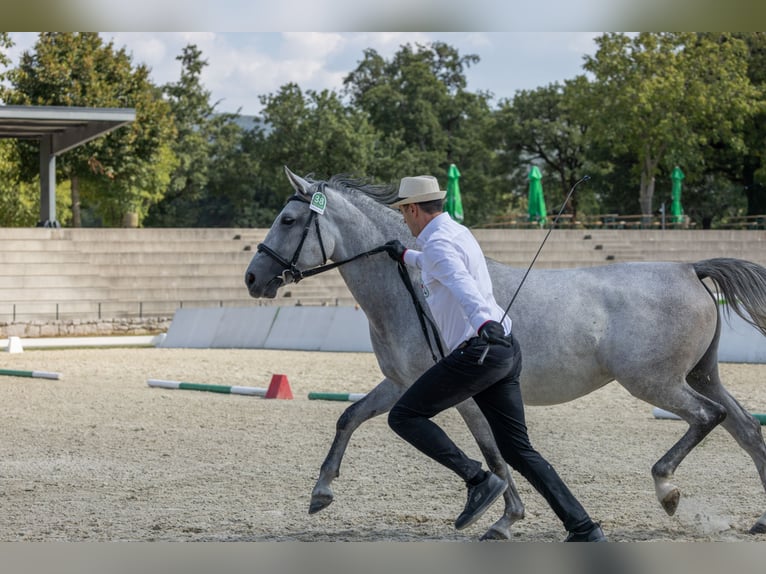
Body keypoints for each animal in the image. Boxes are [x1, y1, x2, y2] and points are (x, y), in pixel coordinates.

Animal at [244, 168, 766, 540]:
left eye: (288, 220)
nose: (252, 278)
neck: (411, 288)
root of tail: (690, 267)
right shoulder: (400, 385)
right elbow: (349, 417)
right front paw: (321, 492)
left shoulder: (457, 394)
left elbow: (492, 454)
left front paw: (498, 517)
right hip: (700, 375)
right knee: (745, 427)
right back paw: (758, 520)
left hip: (656, 383)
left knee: (710, 417)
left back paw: (667, 489)